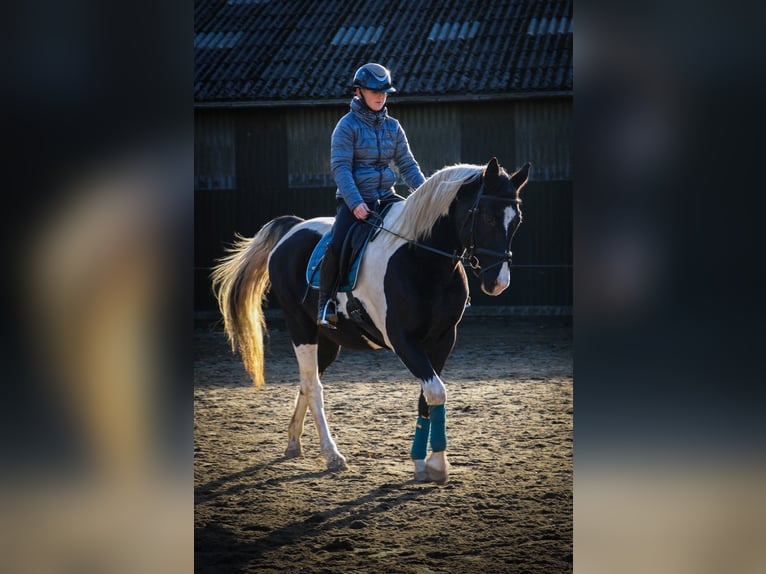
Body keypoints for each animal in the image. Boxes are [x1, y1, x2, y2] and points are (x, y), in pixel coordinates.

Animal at [211, 157, 530, 484]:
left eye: (516, 221)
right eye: (488, 219)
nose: (498, 282)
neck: (421, 257)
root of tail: (293, 228)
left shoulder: (443, 339)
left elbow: (428, 396)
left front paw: (428, 464)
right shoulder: (403, 340)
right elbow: (436, 391)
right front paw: (434, 465)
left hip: (328, 341)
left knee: (307, 381)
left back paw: (293, 442)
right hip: (300, 327)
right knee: (314, 386)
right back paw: (332, 455)